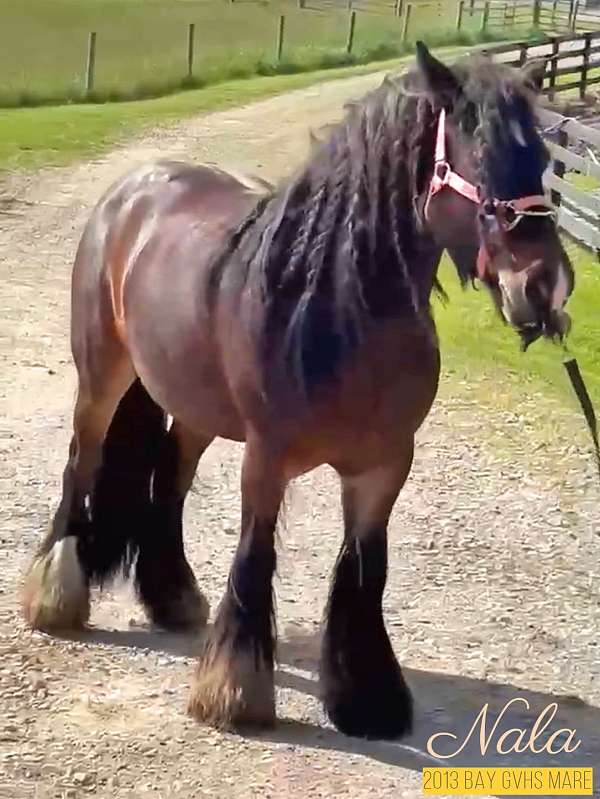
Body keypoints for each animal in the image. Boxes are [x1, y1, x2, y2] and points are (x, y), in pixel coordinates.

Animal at [22, 43, 574, 739]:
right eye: (475, 151)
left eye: (542, 159)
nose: (544, 286)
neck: (334, 306)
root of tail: (131, 189)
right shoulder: (267, 457)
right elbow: (255, 557)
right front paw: (233, 692)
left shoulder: (384, 467)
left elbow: (365, 572)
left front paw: (368, 699)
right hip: (101, 378)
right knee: (81, 464)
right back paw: (54, 598)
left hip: (194, 406)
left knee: (171, 480)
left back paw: (172, 597)